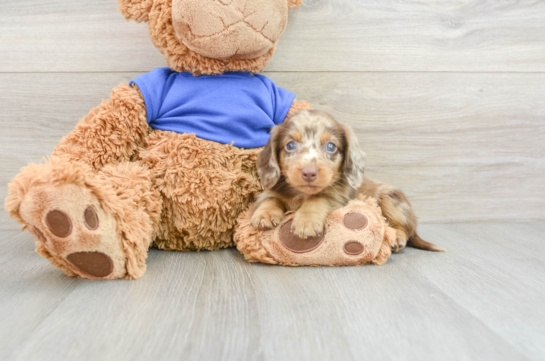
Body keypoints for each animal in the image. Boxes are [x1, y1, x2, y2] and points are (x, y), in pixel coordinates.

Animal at [253, 108, 444, 252]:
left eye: (331, 146)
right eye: (290, 145)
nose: (309, 173)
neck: (301, 194)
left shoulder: (339, 199)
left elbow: (318, 198)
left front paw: (305, 221)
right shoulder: (272, 191)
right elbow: (271, 199)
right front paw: (264, 214)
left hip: (391, 199)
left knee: (406, 229)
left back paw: (397, 237)